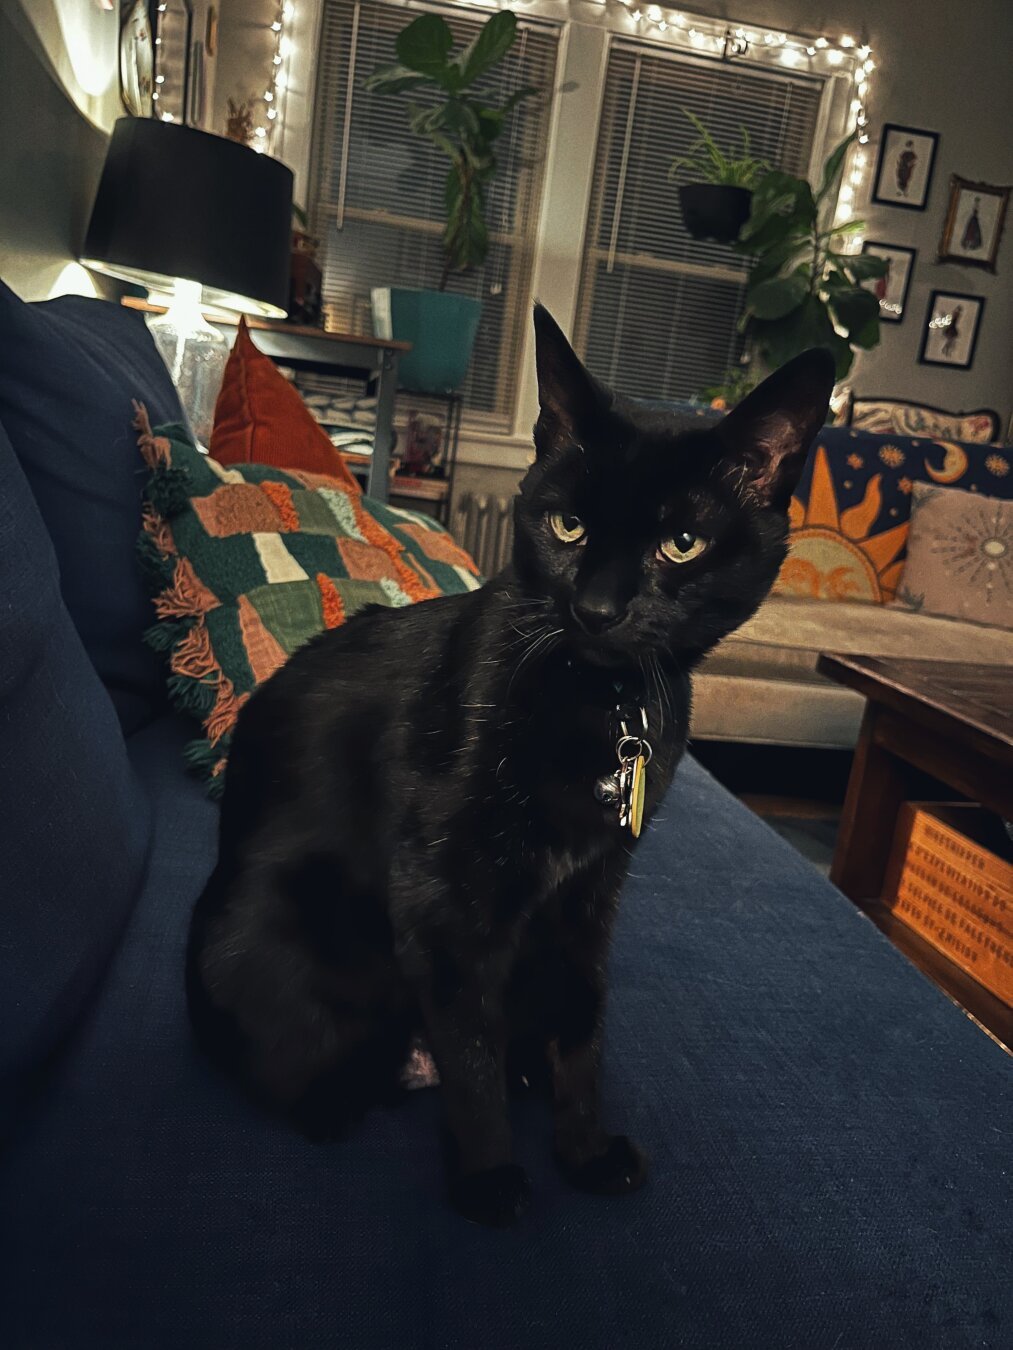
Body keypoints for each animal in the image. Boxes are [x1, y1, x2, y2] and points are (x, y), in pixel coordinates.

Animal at [186, 306, 834, 1227]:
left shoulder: (589, 891)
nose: (595, 608)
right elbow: (469, 1048)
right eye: (567, 527)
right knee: (311, 1076)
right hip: (263, 942)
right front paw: (489, 1172)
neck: (603, 705)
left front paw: (583, 1150)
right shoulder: (441, 894)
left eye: (681, 542)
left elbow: (581, 1023)